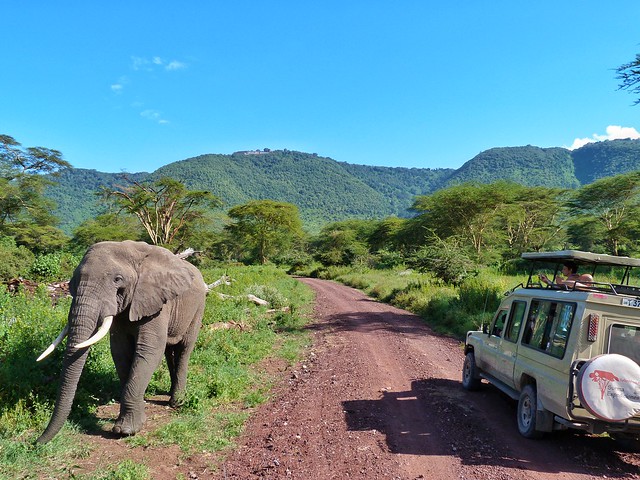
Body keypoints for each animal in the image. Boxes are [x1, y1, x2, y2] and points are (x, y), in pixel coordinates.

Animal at [35, 240, 206, 442]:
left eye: (117, 279)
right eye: (73, 281)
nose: (36, 442)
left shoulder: (156, 302)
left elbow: (148, 351)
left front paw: (125, 431)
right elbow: (121, 352)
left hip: (198, 307)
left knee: (183, 350)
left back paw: (176, 402)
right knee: (168, 351)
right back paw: (171, 394)